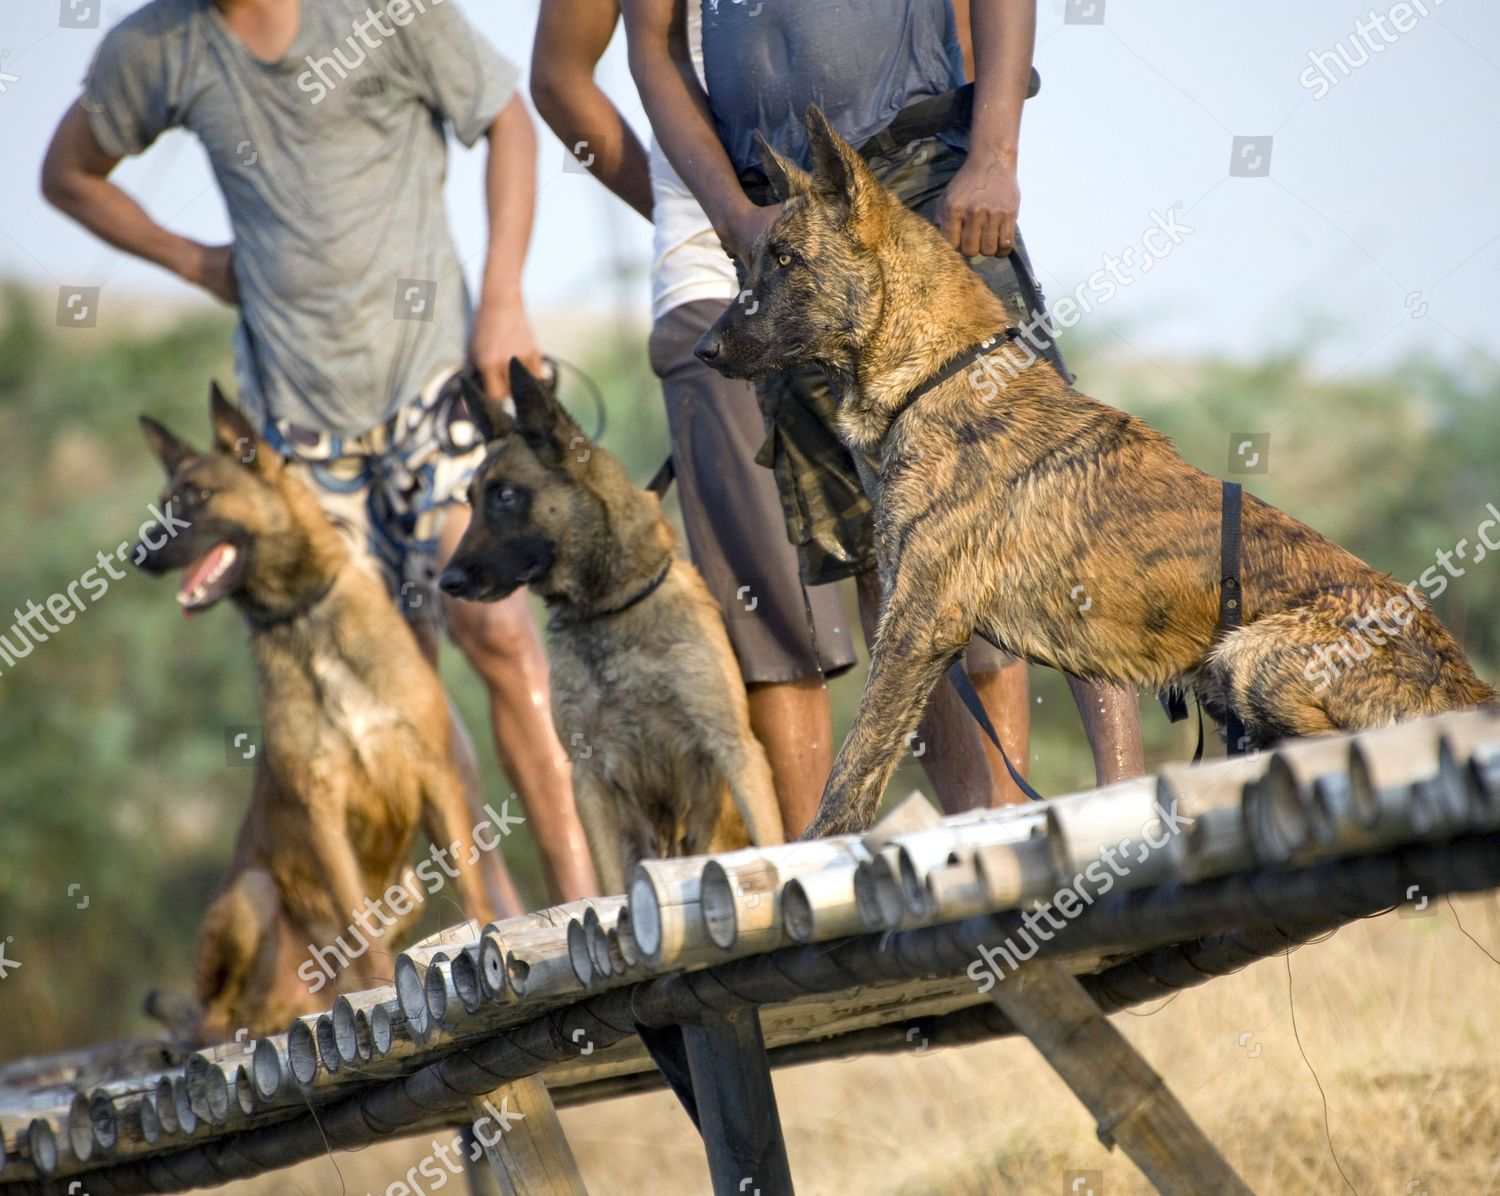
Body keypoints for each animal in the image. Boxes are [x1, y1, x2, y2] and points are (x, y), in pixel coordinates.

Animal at [135, 387, 498, 1038]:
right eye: (164, 503)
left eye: (197, 498)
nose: (134, 556)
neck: (305, 619)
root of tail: (292, 1003)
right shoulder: (320, 808)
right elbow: (359, 923)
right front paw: (380, 990)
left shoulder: (436, 777)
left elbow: (472, 886)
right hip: (252, 891)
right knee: (213, 1017)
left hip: (407, 887)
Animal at [438, 354, 786, 888]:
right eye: (471, 501)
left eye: (506, 495)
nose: (446, 581)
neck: (610, 611)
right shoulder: (588, 781)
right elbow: (608, 887)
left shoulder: (735, 750)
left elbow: (775, 841)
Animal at [696, 109, 1494, 840]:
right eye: (757, 259)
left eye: (786, 260)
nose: (705, 351)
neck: (938, 374)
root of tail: (1467, 686)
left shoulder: (919, 624)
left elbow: (855, 767)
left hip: (1249, 655)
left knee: (1334, 744)